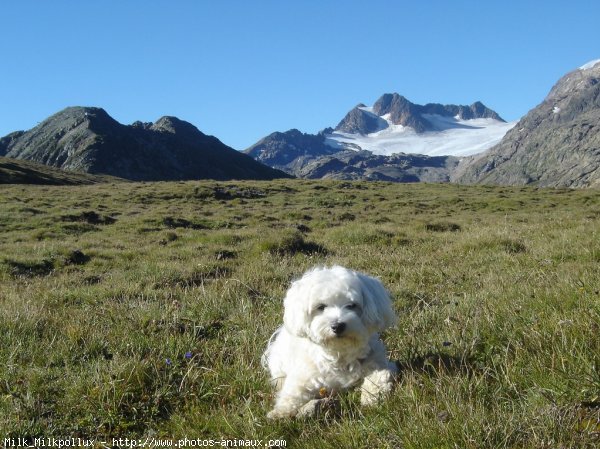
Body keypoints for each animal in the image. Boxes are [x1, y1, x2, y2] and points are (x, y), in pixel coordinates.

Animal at [262, 264, 398, 418]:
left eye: (352, 305)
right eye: (321, 307)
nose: (338, 326)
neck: (339, 354)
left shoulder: (380, 364)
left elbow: (378, 378)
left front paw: (371, 398)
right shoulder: (304, 376)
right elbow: (292, 393)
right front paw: (280, 412)